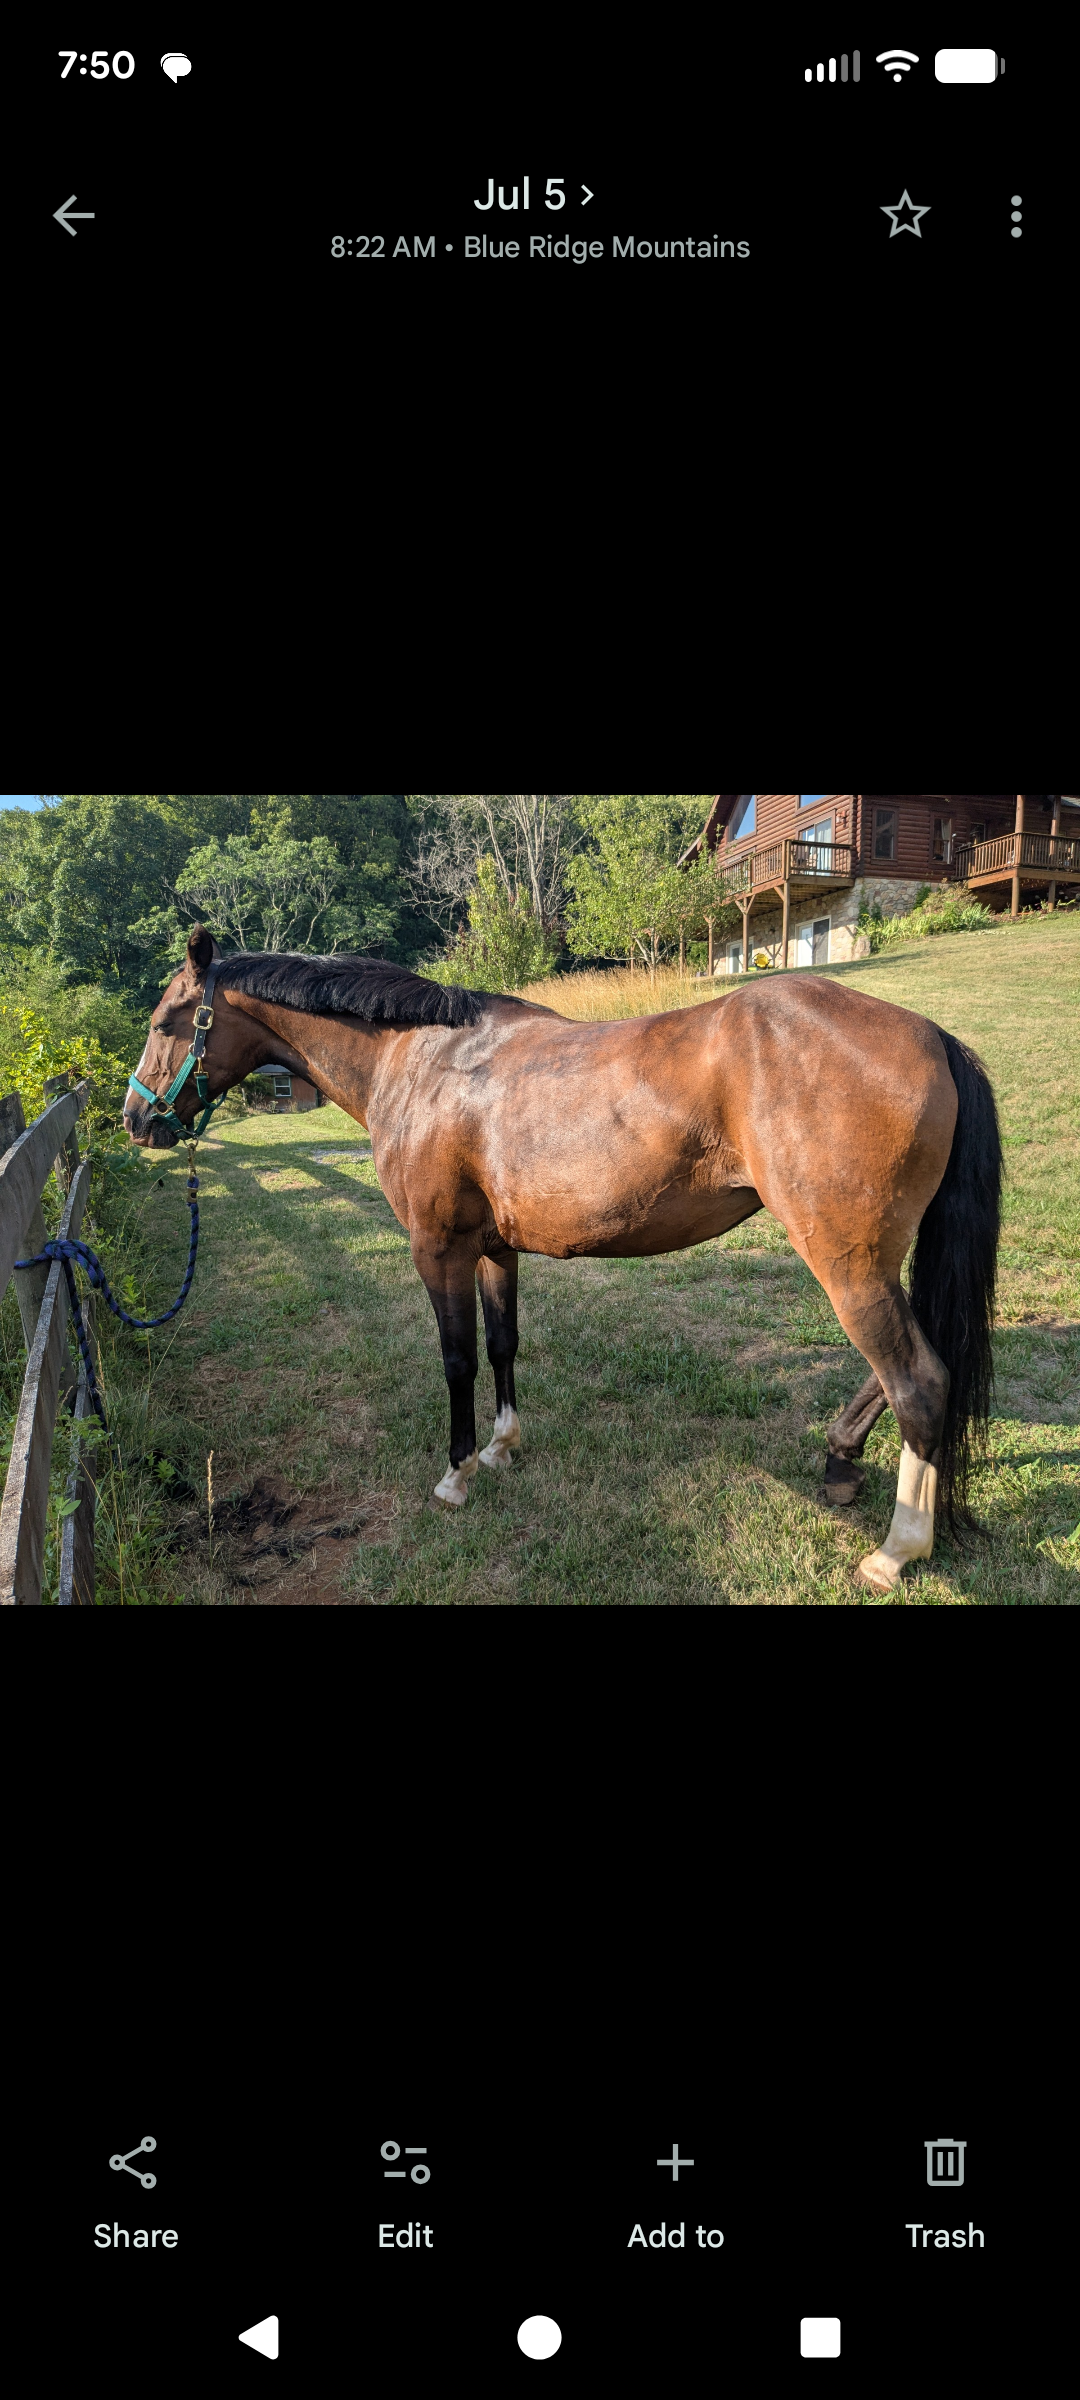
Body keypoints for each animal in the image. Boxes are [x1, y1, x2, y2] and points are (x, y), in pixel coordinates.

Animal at [125, 926, 1001, 1596]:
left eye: (169, 1019)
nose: (137, 1118)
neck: (425, 1061)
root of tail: (931, 1035)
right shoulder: (493, 1249)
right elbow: (503, 1345)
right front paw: (503, 1445)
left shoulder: (437, 1248)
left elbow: (456, 1358)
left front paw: (456, 1474)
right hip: (868, 1261)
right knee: (915, 1368)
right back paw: (841, 1464)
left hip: (844, 1261)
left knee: (917, 1380)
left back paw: (895, 1553)